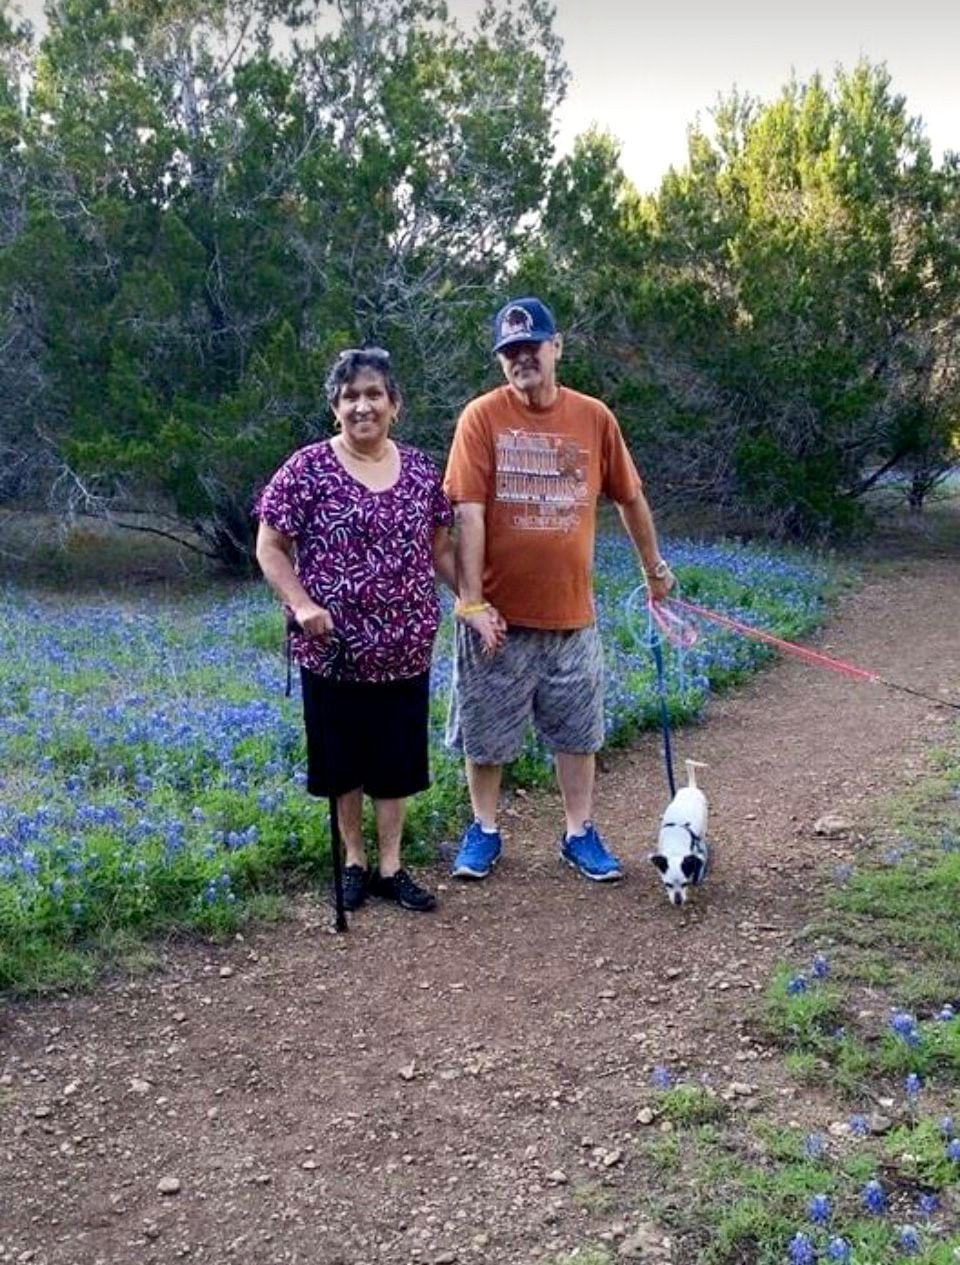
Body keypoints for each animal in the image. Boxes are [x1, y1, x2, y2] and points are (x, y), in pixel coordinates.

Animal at [647, 753, 708, 905]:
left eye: (685, 884)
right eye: (667, 885)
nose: (678, 901)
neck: (675, 847)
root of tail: (691, 787)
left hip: (704, 824)